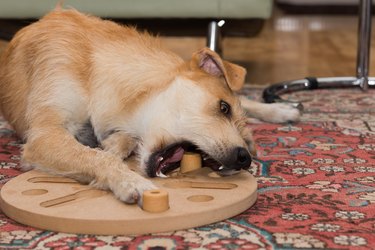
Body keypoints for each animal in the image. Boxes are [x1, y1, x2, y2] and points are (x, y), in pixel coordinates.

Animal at [0, 9, 300, 205]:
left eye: (246, 151)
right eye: (223, 108)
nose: (244, 158)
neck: (98, 71)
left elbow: (111, 147)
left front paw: (116, 146)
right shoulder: (45, 134)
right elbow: (97, 156)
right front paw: (130, 180)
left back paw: (282, 110)